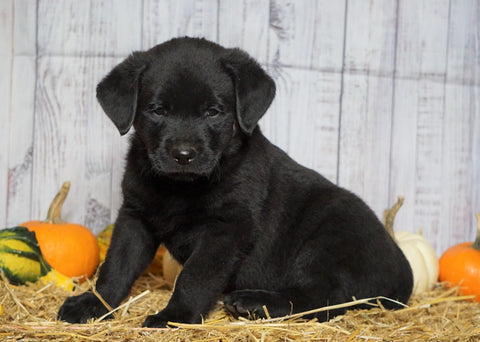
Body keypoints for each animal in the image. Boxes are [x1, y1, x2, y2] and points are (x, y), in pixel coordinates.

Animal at [58, 36, 412, 326]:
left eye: (213, 112)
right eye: (158, 110)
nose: (183, 154)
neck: (181, 187)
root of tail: (402, 269)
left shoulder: (227, 229)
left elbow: (194, 278)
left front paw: (175, 316)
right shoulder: (135, 217)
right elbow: (116, 267)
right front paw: (92, 304)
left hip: (326, 241)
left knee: (323, 299)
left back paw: (252, 303)